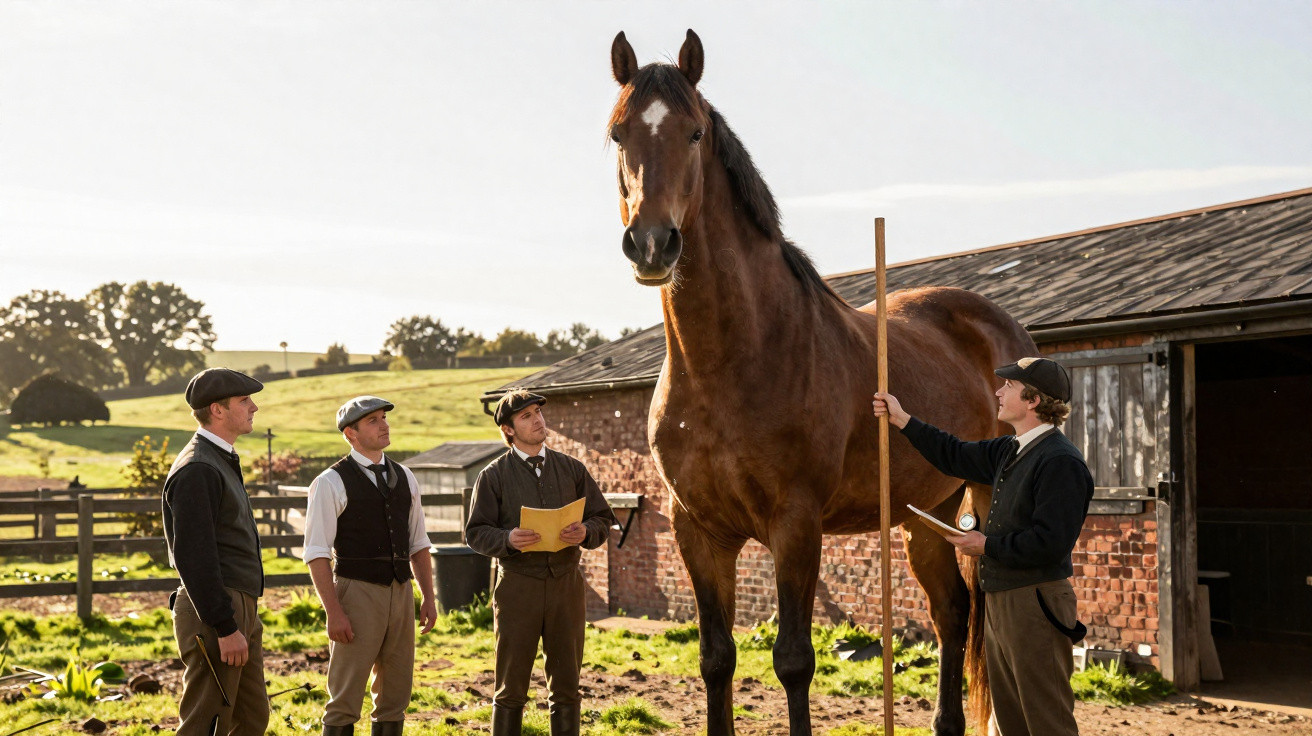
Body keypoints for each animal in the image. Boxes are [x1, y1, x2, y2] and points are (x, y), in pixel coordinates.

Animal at [606, 30, 1039, 736]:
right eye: (618, 134)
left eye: (694, 132)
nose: (651, 244)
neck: (731, 361)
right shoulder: (697, 530)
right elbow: (716, 659)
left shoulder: (796, 524)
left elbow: (793, 661)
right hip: (928, 514)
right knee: (951, 612)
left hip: (981, 494)